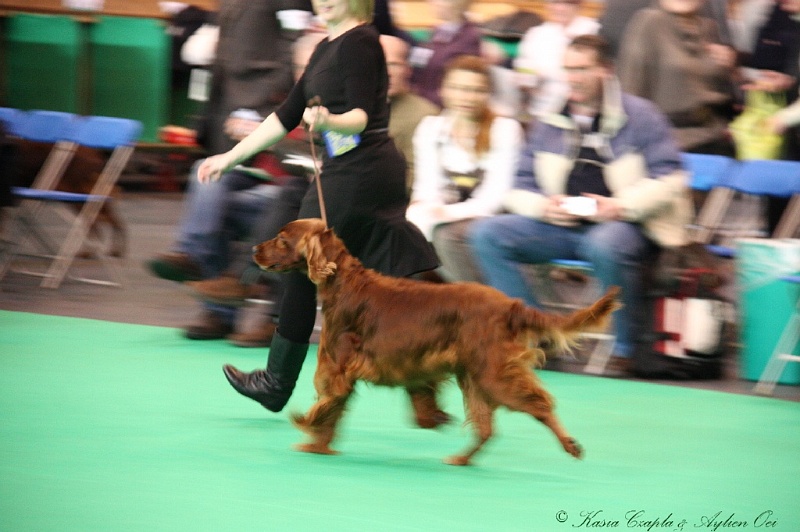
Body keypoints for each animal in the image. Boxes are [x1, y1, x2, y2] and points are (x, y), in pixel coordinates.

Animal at [255, 218, 620, 464]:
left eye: (282, 239)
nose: (255, 249)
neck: (345, 283)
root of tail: (510, 305)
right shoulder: (344, 372)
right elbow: (333, 412)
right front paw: (319, 446)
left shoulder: (337, 369)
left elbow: (325, 407)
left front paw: (307, 428)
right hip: (474, 376)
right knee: (487, 428)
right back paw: (462, 459)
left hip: (492, 373)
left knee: (539, 405)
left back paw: (569, 445)